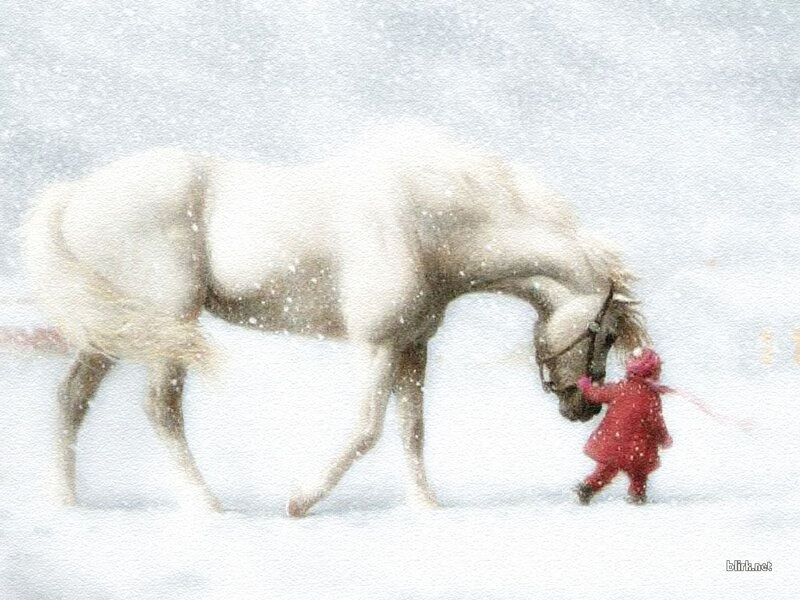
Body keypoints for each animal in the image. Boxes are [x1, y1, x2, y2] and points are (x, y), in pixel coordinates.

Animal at [21, 123, 647, 516]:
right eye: (605, 333)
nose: (584, 408)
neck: (427, 224)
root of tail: (74, 196)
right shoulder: (377, 346)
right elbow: (367, 429)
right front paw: (300, 501)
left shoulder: (412, 347)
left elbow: (413, 430)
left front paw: (426, 507)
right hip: (167, 324)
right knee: (160, 409)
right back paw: (205, 506)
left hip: (119, 328)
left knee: (71, 397)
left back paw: (65, 502)